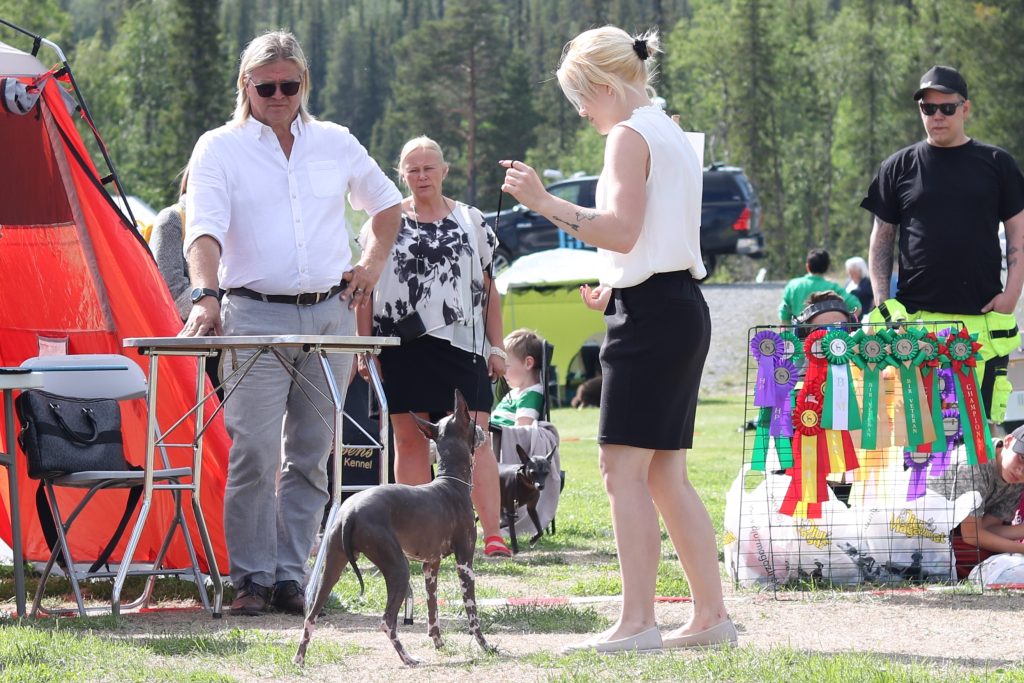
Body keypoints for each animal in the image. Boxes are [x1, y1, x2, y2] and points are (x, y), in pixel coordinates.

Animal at [294, 390, 493, 667]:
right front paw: (485, 646)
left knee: (310, 617)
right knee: (387, 622)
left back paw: (299, 660)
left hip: (331, 569)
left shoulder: (430, 566)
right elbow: (472, 613)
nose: (487, 430)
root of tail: (350, 513)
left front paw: (439, 643)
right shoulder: (465, 563)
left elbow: (433, 611)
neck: (450, 483)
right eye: (474, 424)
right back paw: (408, 658)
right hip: (398, 569)